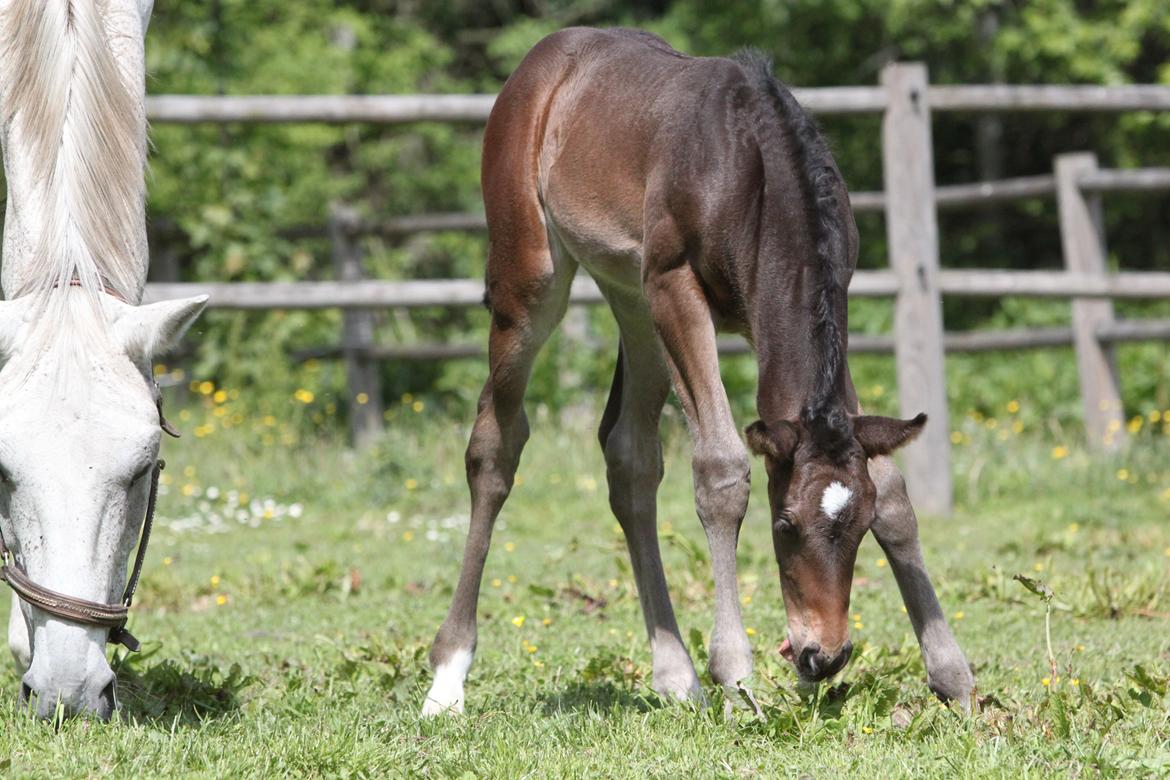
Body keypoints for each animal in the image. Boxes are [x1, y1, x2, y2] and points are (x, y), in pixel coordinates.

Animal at [425, 28, 973, 715]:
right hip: (536, 278)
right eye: (784, 524)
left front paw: (952, 676)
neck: (753, 170)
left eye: (861, 526)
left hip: (630, 297)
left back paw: (675, 677)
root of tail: (545, 57)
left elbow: (893, 484)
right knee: (496, 444)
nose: (823, 656)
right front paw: (735, 673)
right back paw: (448, 678)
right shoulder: (675, 285)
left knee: (629, 457)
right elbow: (721, 468)